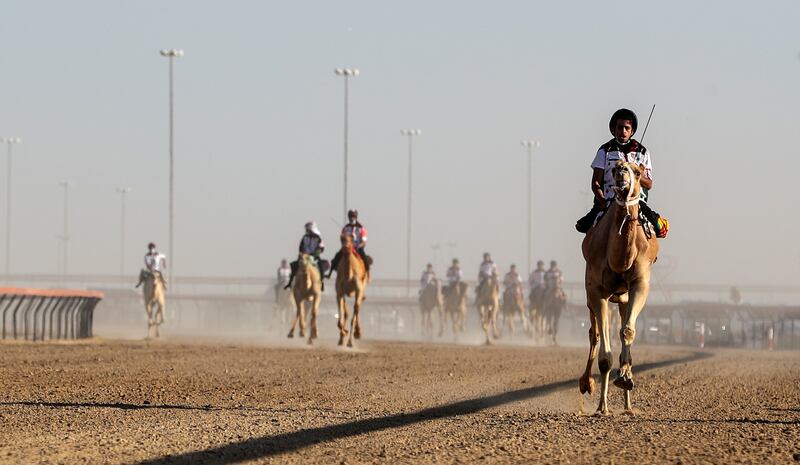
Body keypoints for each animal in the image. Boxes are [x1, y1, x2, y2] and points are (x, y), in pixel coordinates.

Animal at [580, 161, 660, 416]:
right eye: (613, 168)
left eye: (638, 171)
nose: (622, 170)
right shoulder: (596, 290)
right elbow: (604, 355)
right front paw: (602, 408)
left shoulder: (640, 285)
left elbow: (627, 332)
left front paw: (625, 377)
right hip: (589, 294)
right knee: (594, 335)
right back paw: (587, 384)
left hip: (623, 300)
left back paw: (628, 406)